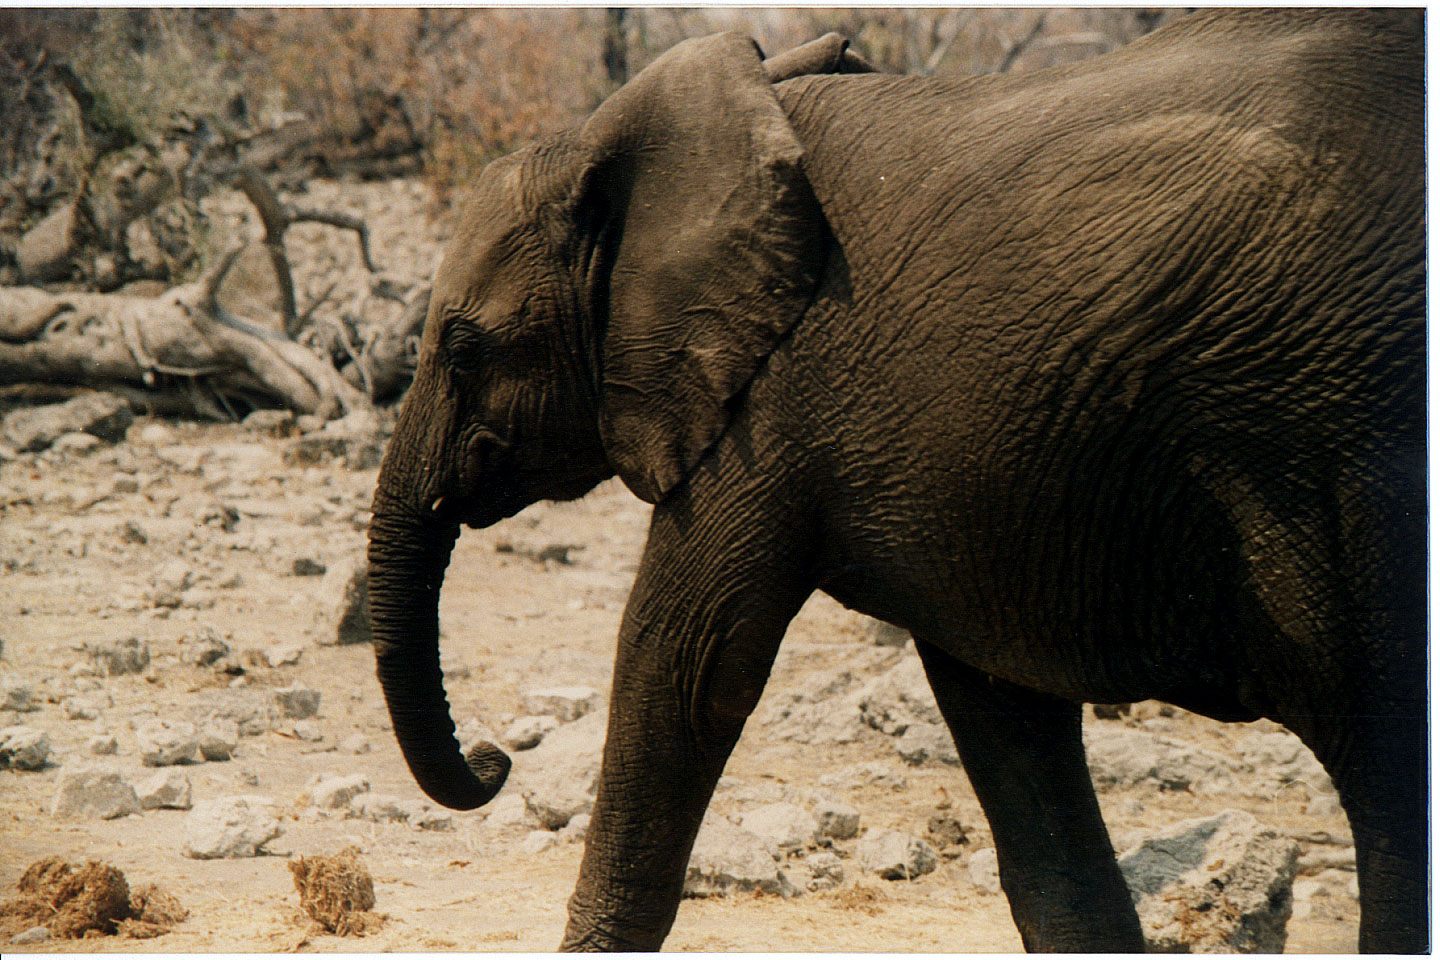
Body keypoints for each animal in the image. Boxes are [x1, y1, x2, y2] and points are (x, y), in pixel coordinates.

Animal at [368, 7, 1428, 955]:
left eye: (462, 347)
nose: (492, 760)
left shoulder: (776, 392)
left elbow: (687, 661)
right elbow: (1003, 717)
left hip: (1363, 448)